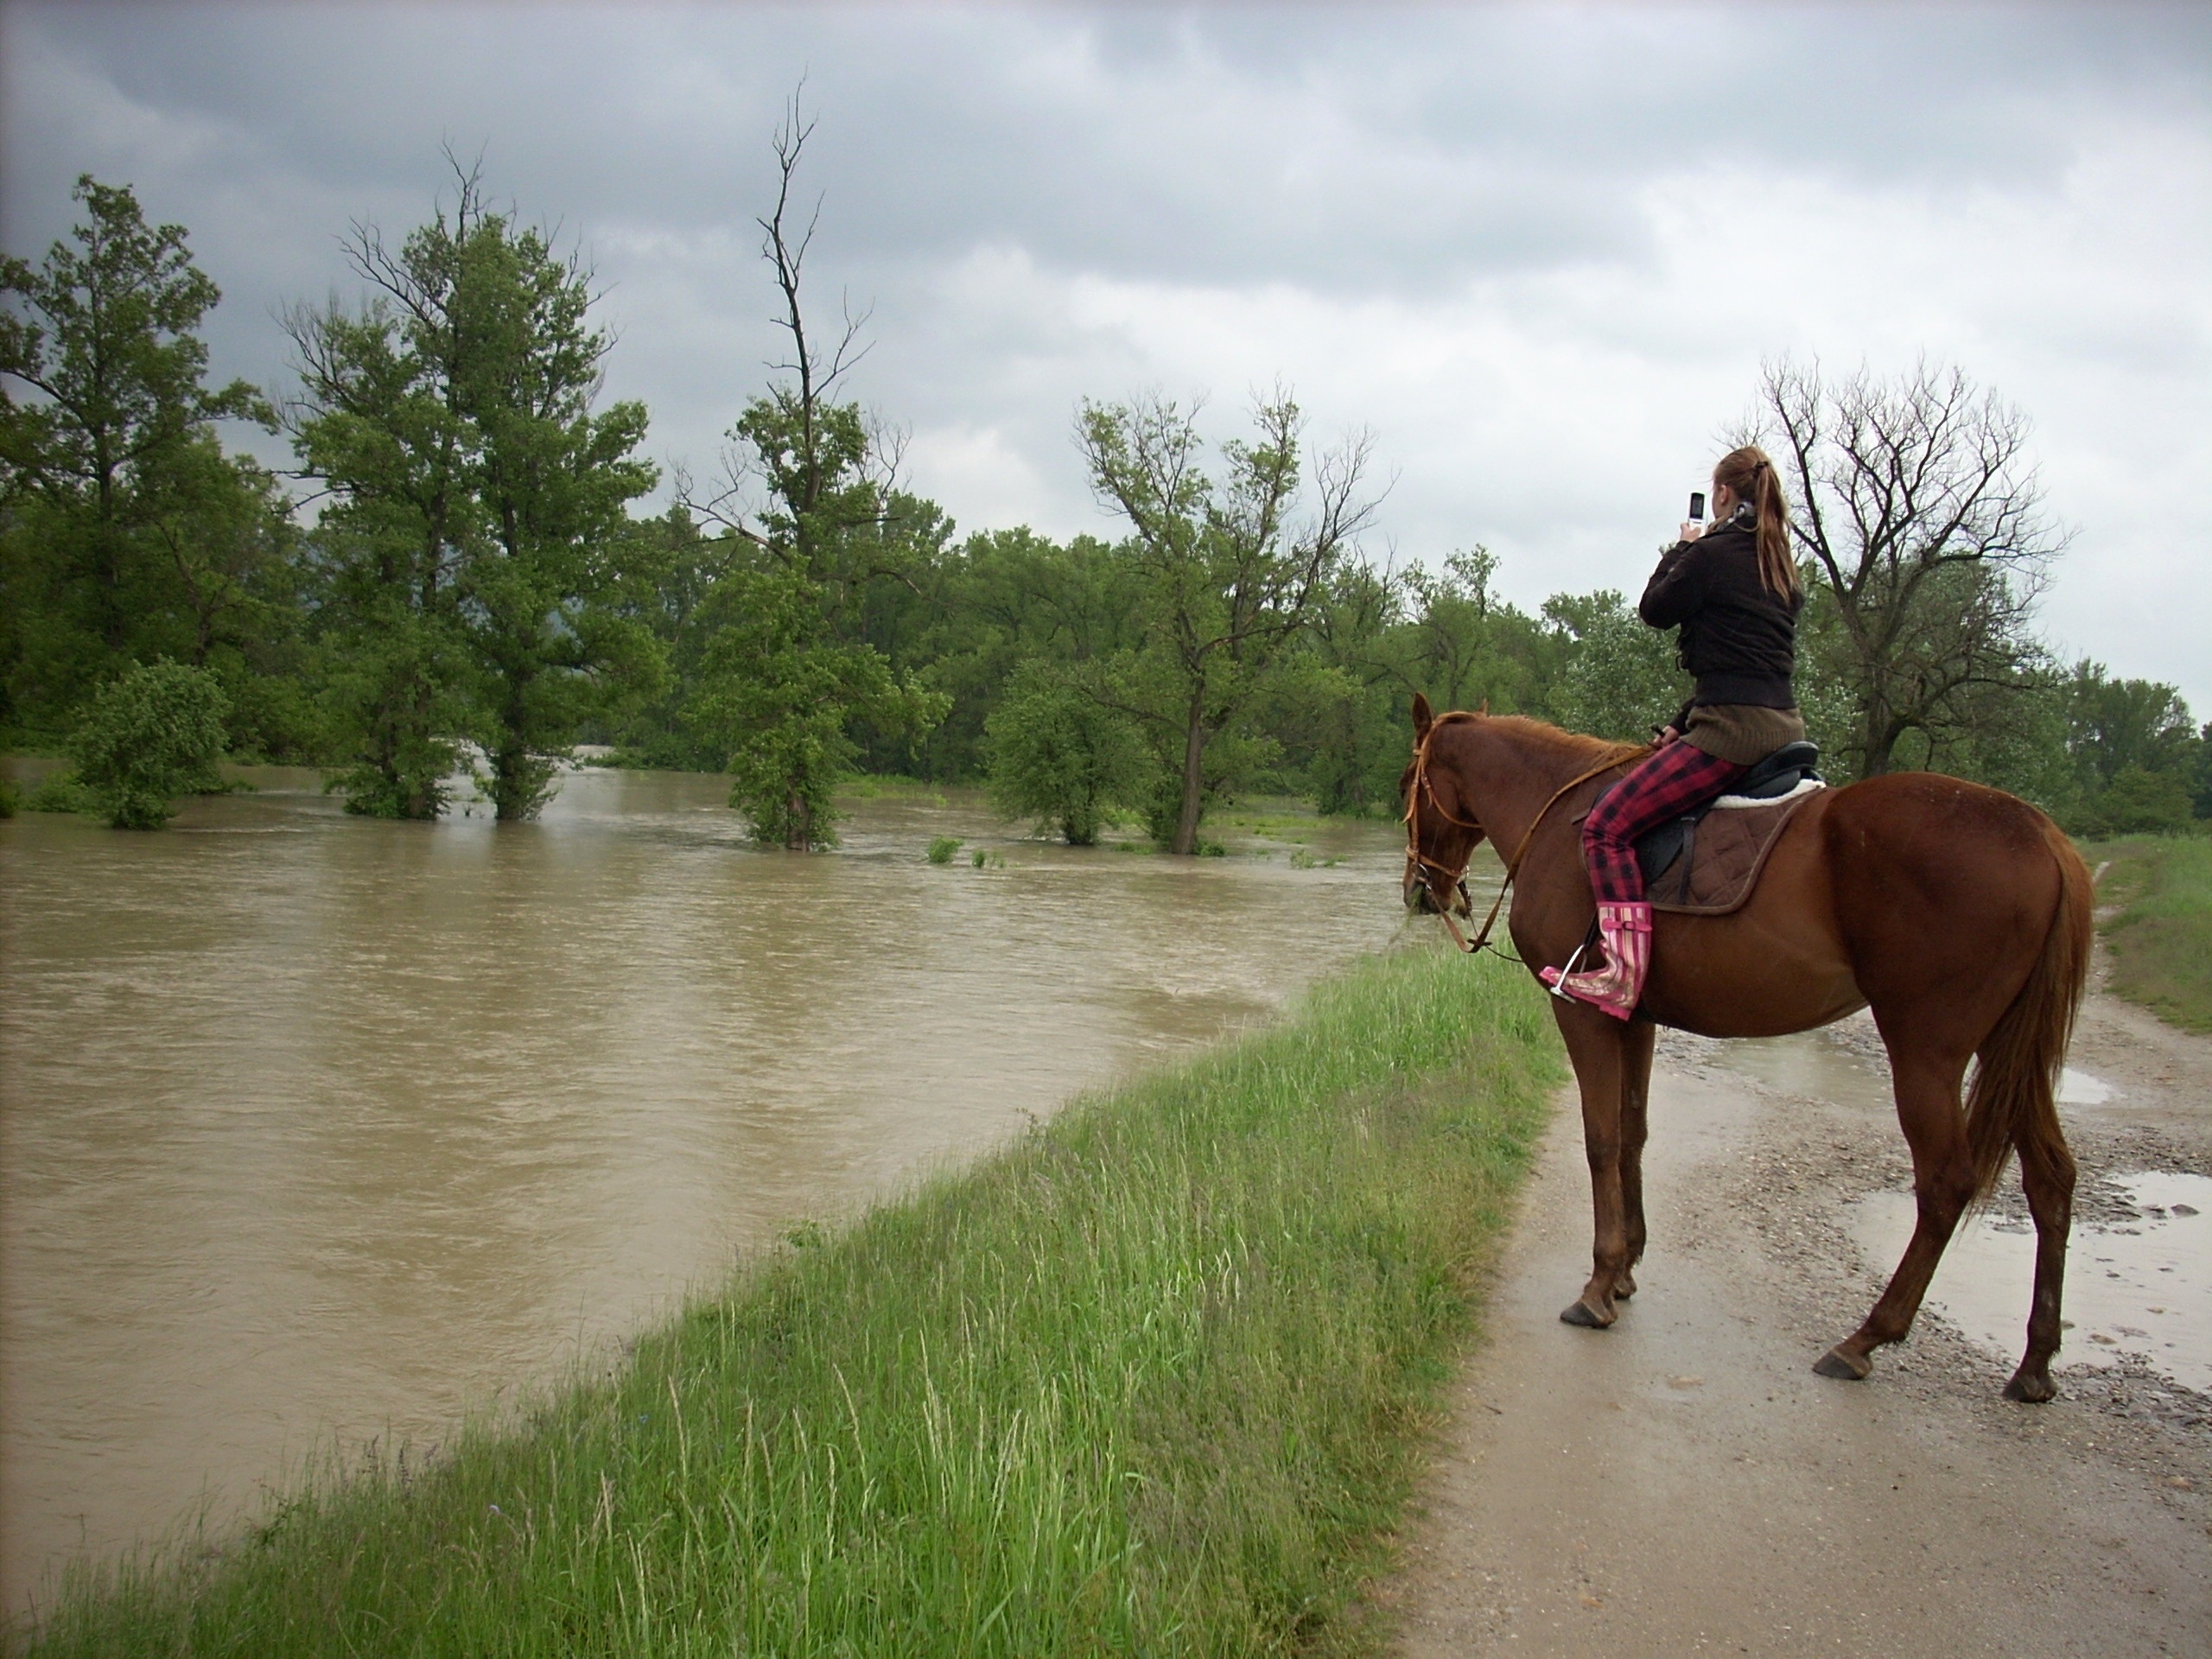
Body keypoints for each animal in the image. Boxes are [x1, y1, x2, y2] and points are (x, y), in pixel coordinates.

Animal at [1398, 695, 2092, 1401]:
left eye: (1406, 786)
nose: (1420, 891)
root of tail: (2041, 833)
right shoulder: (1634, 1019)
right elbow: (1633, 1133)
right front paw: (1626, 1271)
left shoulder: (1582, 1013)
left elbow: (1600, 1141)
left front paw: (1598, 1285)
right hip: (2010, 1051)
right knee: (2051, 1179)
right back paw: (2035, 1362)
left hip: (1927, 1051)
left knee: (1947, 1183)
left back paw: (1866, 1339)